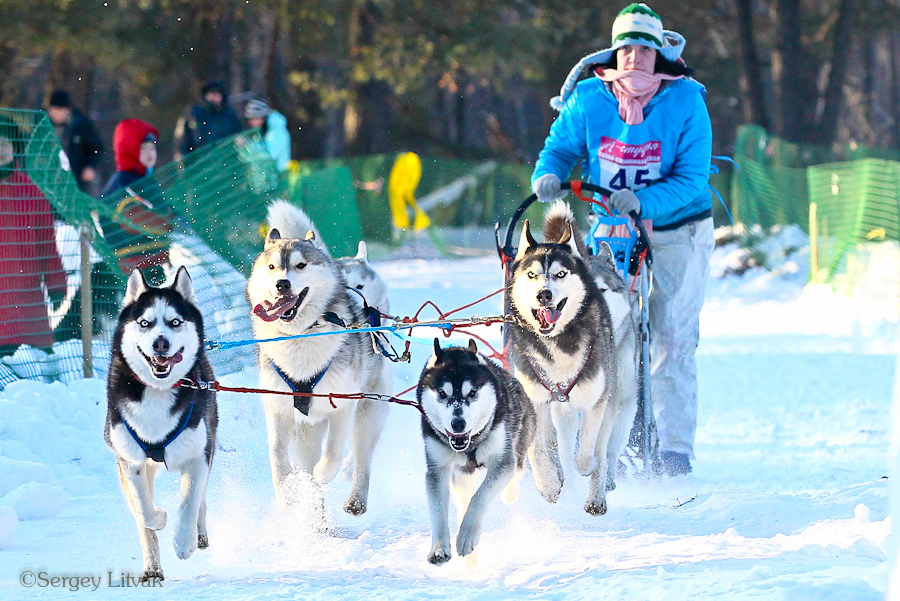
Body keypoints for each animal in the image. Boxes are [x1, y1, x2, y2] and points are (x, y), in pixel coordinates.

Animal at [104, 266, 217, 582]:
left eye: (175, 322)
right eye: (145, 323)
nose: (160, 343)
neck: (157, 390)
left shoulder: (198, 454)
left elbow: (190, 502)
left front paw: (183, 543)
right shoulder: (130, 460)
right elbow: (144, 512)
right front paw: (160, 518)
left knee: (201, 499)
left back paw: (198, 536)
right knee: (141, 518)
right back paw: (152, 568)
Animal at [248, 200, 391, 517]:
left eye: (301, 265)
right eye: (272, 266)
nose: (282, 284)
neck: (299, 337)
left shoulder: (343, 407)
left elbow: (333, 454)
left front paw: (322, 474)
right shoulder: (278, 410)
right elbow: (277, 458)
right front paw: (289, 491)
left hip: (367, 413)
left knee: (360, 457)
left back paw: (355, 499)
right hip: (306, 430)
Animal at [418, 339, 536, 565]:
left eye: (472, 393)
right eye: (442, 393)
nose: (458, 423)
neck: (470, 444)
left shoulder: (502, 461)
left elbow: (480, 497)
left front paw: (467, 536)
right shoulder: (437, 469)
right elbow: (438, 510)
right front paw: (439, 548)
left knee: (516, 471)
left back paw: (509, 494)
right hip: (462, 477)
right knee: (462, 498)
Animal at [506, 201, 637, 516]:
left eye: (561, 274)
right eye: (531, 275)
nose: (544, 295)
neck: (557, 344)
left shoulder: (598, 400)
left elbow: (591, 449)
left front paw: (588, 470)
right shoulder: (533, 400)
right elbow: (539, 449)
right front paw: (549, 483)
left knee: (602, 447)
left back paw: (597, 494)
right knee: (558, 443)